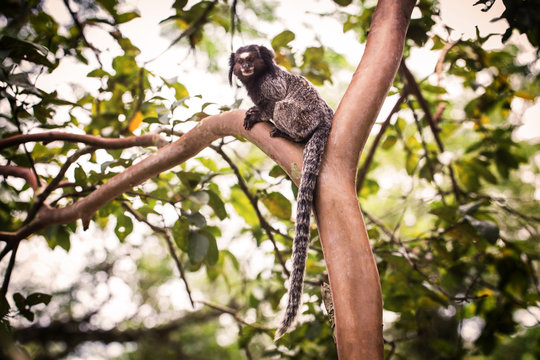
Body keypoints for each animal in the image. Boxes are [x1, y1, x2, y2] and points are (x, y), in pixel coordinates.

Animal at [228, 44, 334, 338]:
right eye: (241, 62)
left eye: (251, 60)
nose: (246, 67)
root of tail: (325, 119)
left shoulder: (270, 85)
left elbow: (273, 100)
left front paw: (258, 113)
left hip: (303, 118)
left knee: (283, 107)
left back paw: (289, 135)